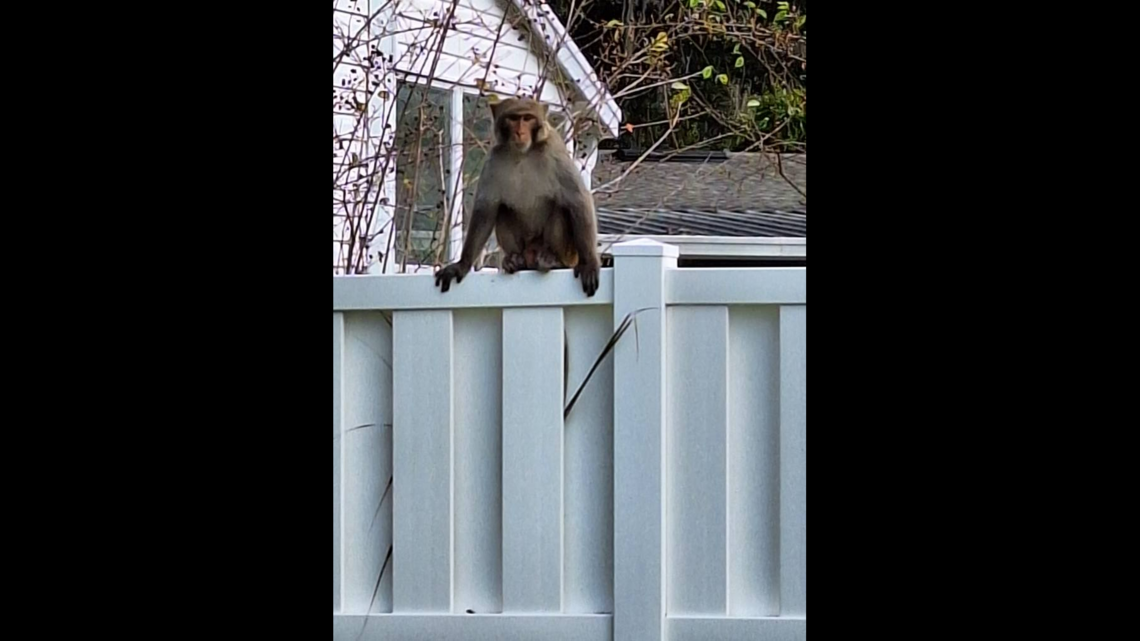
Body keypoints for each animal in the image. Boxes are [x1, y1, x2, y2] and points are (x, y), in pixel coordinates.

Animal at [435, 98, 601, 296]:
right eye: (513, 118)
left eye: (527, 118)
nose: (520, 132)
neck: (523, 153)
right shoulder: (494, 158)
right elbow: (486, 209)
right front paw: (462, 265)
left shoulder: (554, 152)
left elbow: (578, 200)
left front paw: (589, 263)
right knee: (502, 210)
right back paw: (515, 260)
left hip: (568, 253)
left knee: (560, 208)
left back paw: (552, 259)